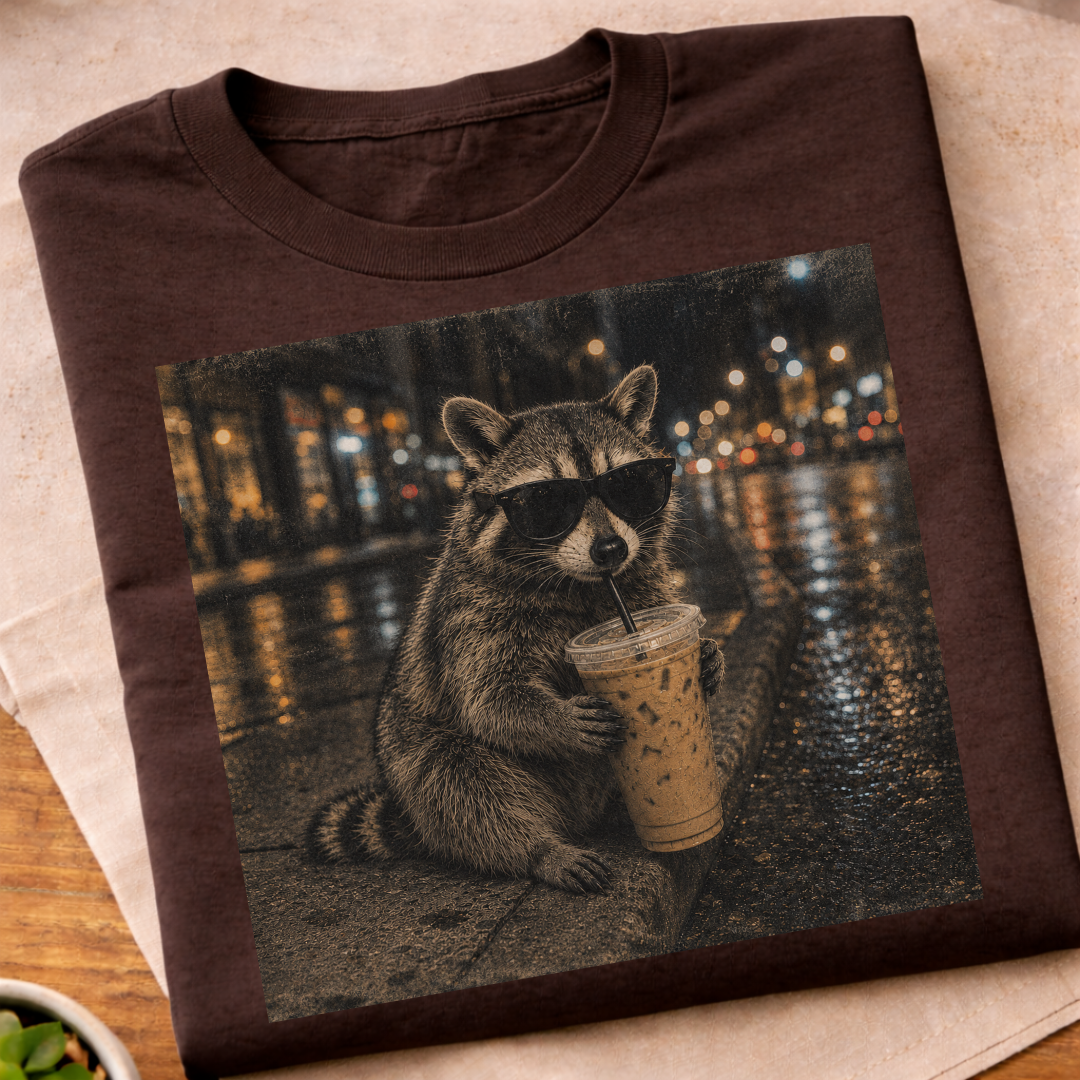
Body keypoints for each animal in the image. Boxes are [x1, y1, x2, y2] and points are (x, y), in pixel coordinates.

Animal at [309, 365, 723, 893]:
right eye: (547, 499)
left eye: (627, 484)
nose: (611, 550)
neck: (580, 585)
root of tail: (576, 817)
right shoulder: (473, 615)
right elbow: (492, 700)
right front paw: (555, 719)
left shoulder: (641, 588)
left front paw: (707, 656)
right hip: (414, 755)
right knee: (458, 781)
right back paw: (538, 849)